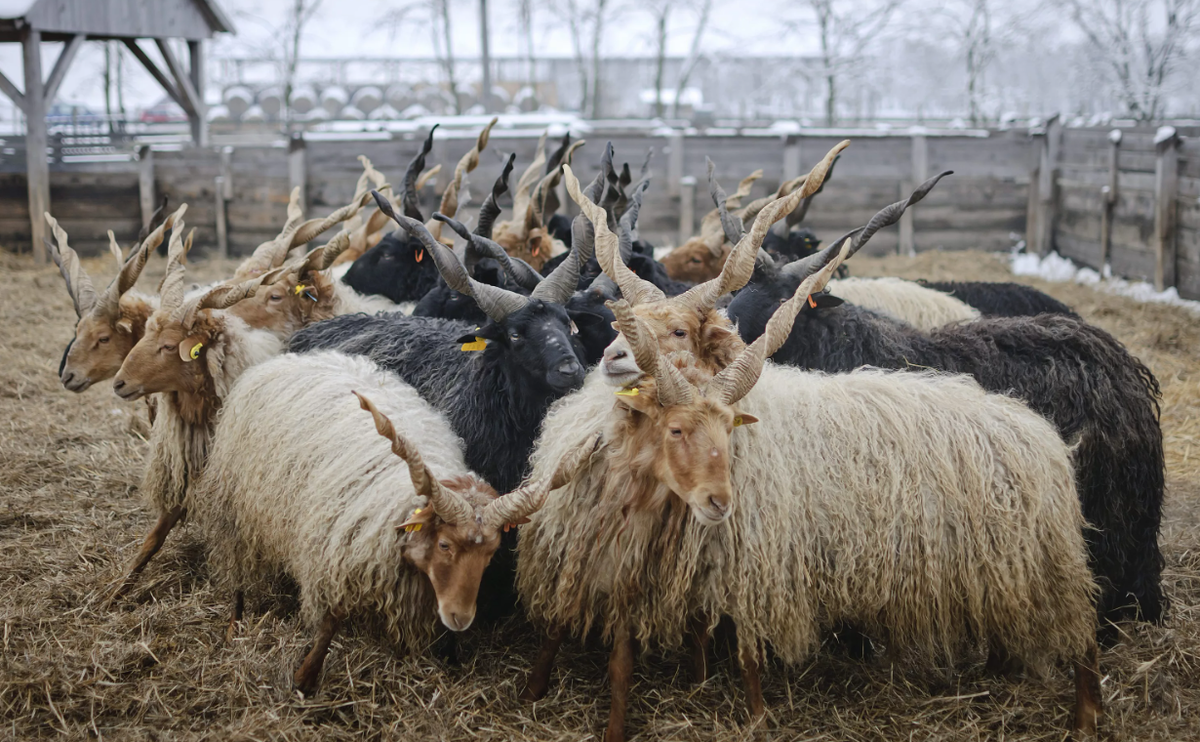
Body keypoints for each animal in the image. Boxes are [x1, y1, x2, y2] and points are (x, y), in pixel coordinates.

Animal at [195, 348, 600, 691]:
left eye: (490, 555)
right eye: (444, 544)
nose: (461, 618)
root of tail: (289, 358)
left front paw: (450, 655)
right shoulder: (341, 551)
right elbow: (330, 621)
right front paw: (305, 679)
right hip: (233, 507)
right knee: (237, 572)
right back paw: (234, 623)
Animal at [520, 246, 1099, 734]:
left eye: (680, 331)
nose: (610, 358)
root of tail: (1044, 436)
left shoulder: (754, 556)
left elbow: (748, 652)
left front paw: (755, 717)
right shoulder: (710, 555)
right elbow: (704, 631)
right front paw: (702, 681)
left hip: (1046, 563)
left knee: (1085, 641)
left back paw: (1086, 717)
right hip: (1004, 567)